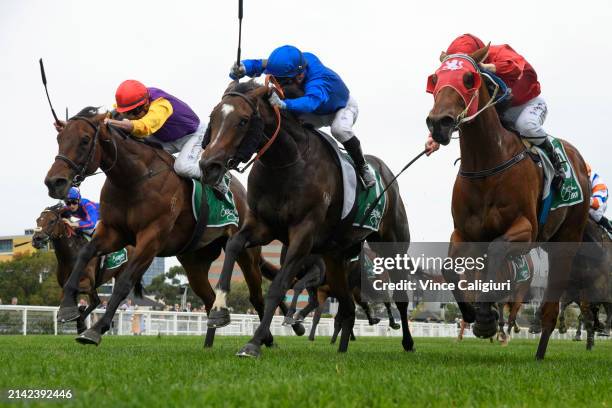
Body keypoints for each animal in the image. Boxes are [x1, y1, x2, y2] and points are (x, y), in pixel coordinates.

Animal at [30, 204, 130, 334]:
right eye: (38, 220)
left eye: (52, 221)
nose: (36, 239)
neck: (71, 256)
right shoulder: (76, 285)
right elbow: (67, 294)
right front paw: (74, 315)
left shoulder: (87, 283)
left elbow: (70, 290)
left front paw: (73, 314)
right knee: (96, 300)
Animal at [44, 106, 300, 348]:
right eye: (59, 138)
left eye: (85, 140)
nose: (53, 182)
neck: (133, 179)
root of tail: (244, 195)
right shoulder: (113, 231)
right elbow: (85, 253)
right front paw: (67, 307)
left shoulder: (151, 237)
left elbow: (124, 282)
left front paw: (96, 329)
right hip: (194, 261)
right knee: (210, 298)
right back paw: (212, 340)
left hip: (246, 250)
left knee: (256, 295)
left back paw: (270, 336)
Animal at [198, 79, 414, 356]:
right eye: (213, 117)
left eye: (243, 121)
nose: (208, 166)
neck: (287, 164)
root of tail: (388, 176)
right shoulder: (262, 225)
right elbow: (235, 245)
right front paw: (218, 310)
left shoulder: (303, 233)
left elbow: (279, 287)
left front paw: (254, 342)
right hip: (335, 257)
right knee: (347, 305)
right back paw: (342, 349)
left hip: (392, 245)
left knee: (399, 299)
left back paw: (407, 341)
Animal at [426, 45, 592, 360]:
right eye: (434, 79)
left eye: (469, 78)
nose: (438, 123)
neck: (487, 164)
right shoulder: (463, 232)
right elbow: (450, 268)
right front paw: (473, 313)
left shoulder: (526, 228)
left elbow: (497, 248)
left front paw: (486, 317)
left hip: (568, 239)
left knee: (550, 308)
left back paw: (539, 353)